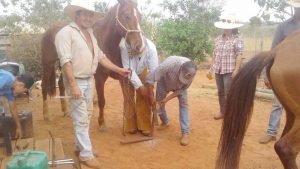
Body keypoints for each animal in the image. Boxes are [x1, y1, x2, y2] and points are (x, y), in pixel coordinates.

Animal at [40, 0, 143, 129]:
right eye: (126, 15)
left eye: (139, 16)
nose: (139, 46)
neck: (108, 44)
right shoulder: (99, 78)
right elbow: (102, 101)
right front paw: (102, 123)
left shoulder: (122, 77)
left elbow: (127, 100)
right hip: (48, 64)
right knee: (44, 86)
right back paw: (46, 115)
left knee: (61, 85)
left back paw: (65, 111)